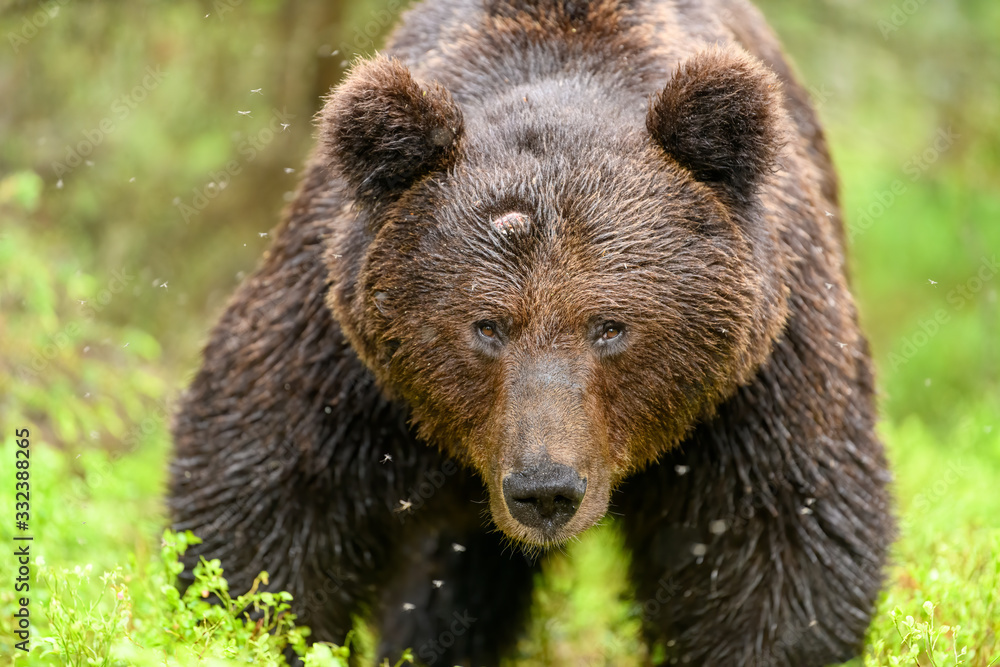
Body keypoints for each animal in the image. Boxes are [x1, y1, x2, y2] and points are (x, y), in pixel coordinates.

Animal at [168, 1, 896, 667]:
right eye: (487, 325)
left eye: (610, 326)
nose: (545, 488)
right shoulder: (342, 351)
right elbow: (268, 503)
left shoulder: (758, 374)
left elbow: (774, 539)